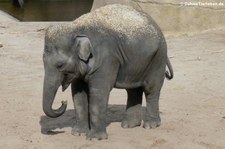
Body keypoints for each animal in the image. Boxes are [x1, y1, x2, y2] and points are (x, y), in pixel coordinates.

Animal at [42, 4, 174, 140]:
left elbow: (99, 92)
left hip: (158, 58)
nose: (63, 102)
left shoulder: (107, 60)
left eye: (60, 65)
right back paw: (129, 125)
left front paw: (95, 138)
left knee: (151, 89)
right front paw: (78, 133)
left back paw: (150, 125)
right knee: (133, 89)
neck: (76, 28)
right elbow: (78, 93)